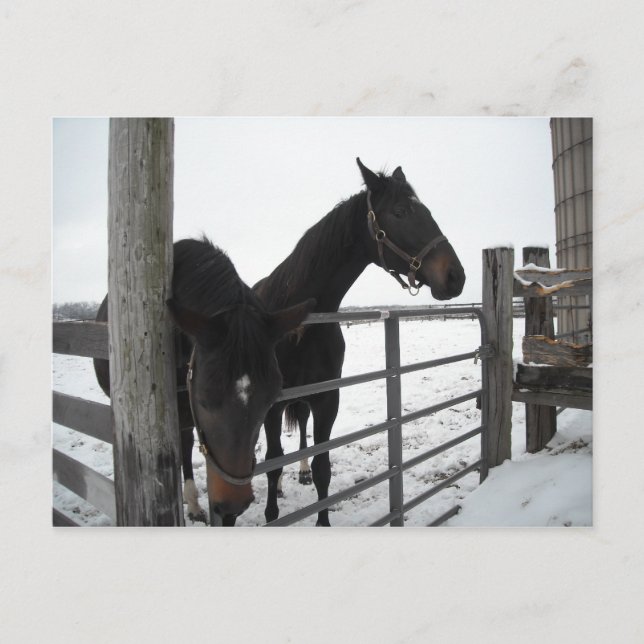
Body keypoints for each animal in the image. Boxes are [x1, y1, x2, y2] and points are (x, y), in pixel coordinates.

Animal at [253, 158, 465, 525]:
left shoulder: (327, 398)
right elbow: (273, 462)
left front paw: (321, 518)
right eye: (400, 211)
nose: (456, 276)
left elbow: (322, 465)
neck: (301, 325)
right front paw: (271, 515)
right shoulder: (273, 405)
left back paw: (300, 472)